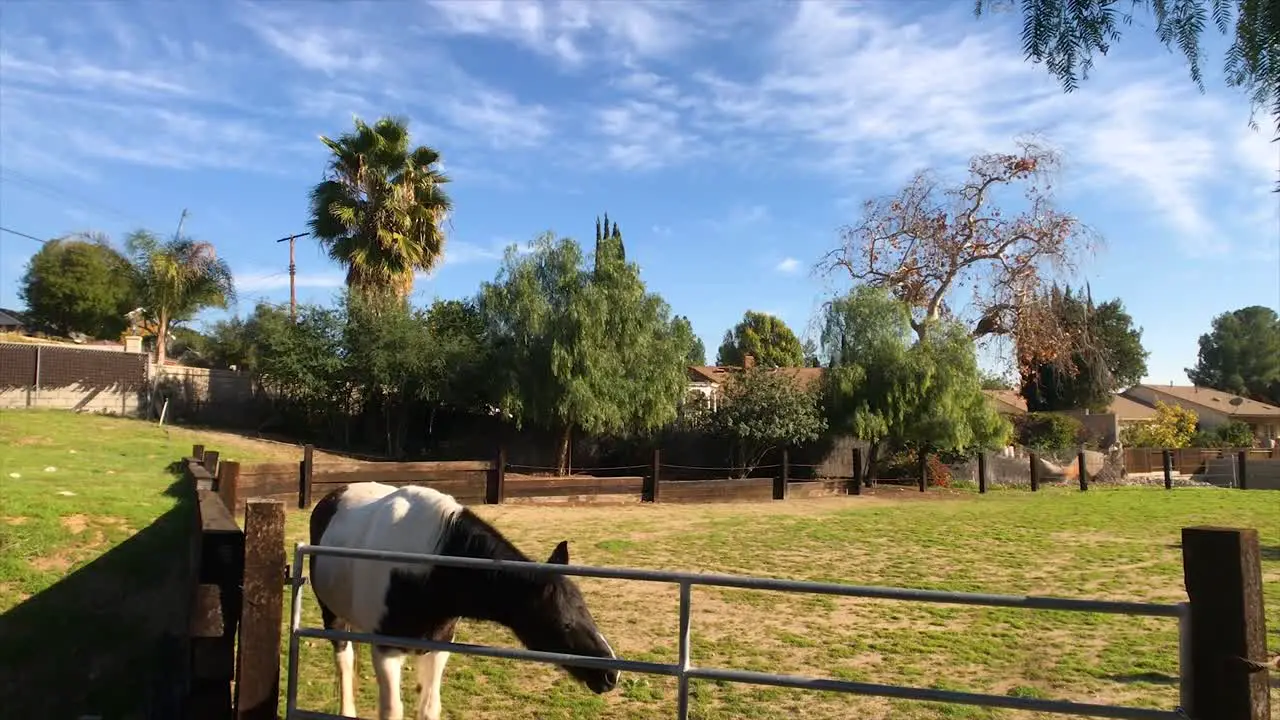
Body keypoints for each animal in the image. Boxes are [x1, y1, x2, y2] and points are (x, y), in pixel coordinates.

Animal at [304, 479, 614, 720]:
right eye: (565, 624)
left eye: (587, 611)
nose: (610, 675)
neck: (427, 567)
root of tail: (330, 498)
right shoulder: (386, 650)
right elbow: (392, 710)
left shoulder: (438, 645)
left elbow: (429, 708)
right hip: (332, 616)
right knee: (344, 661)